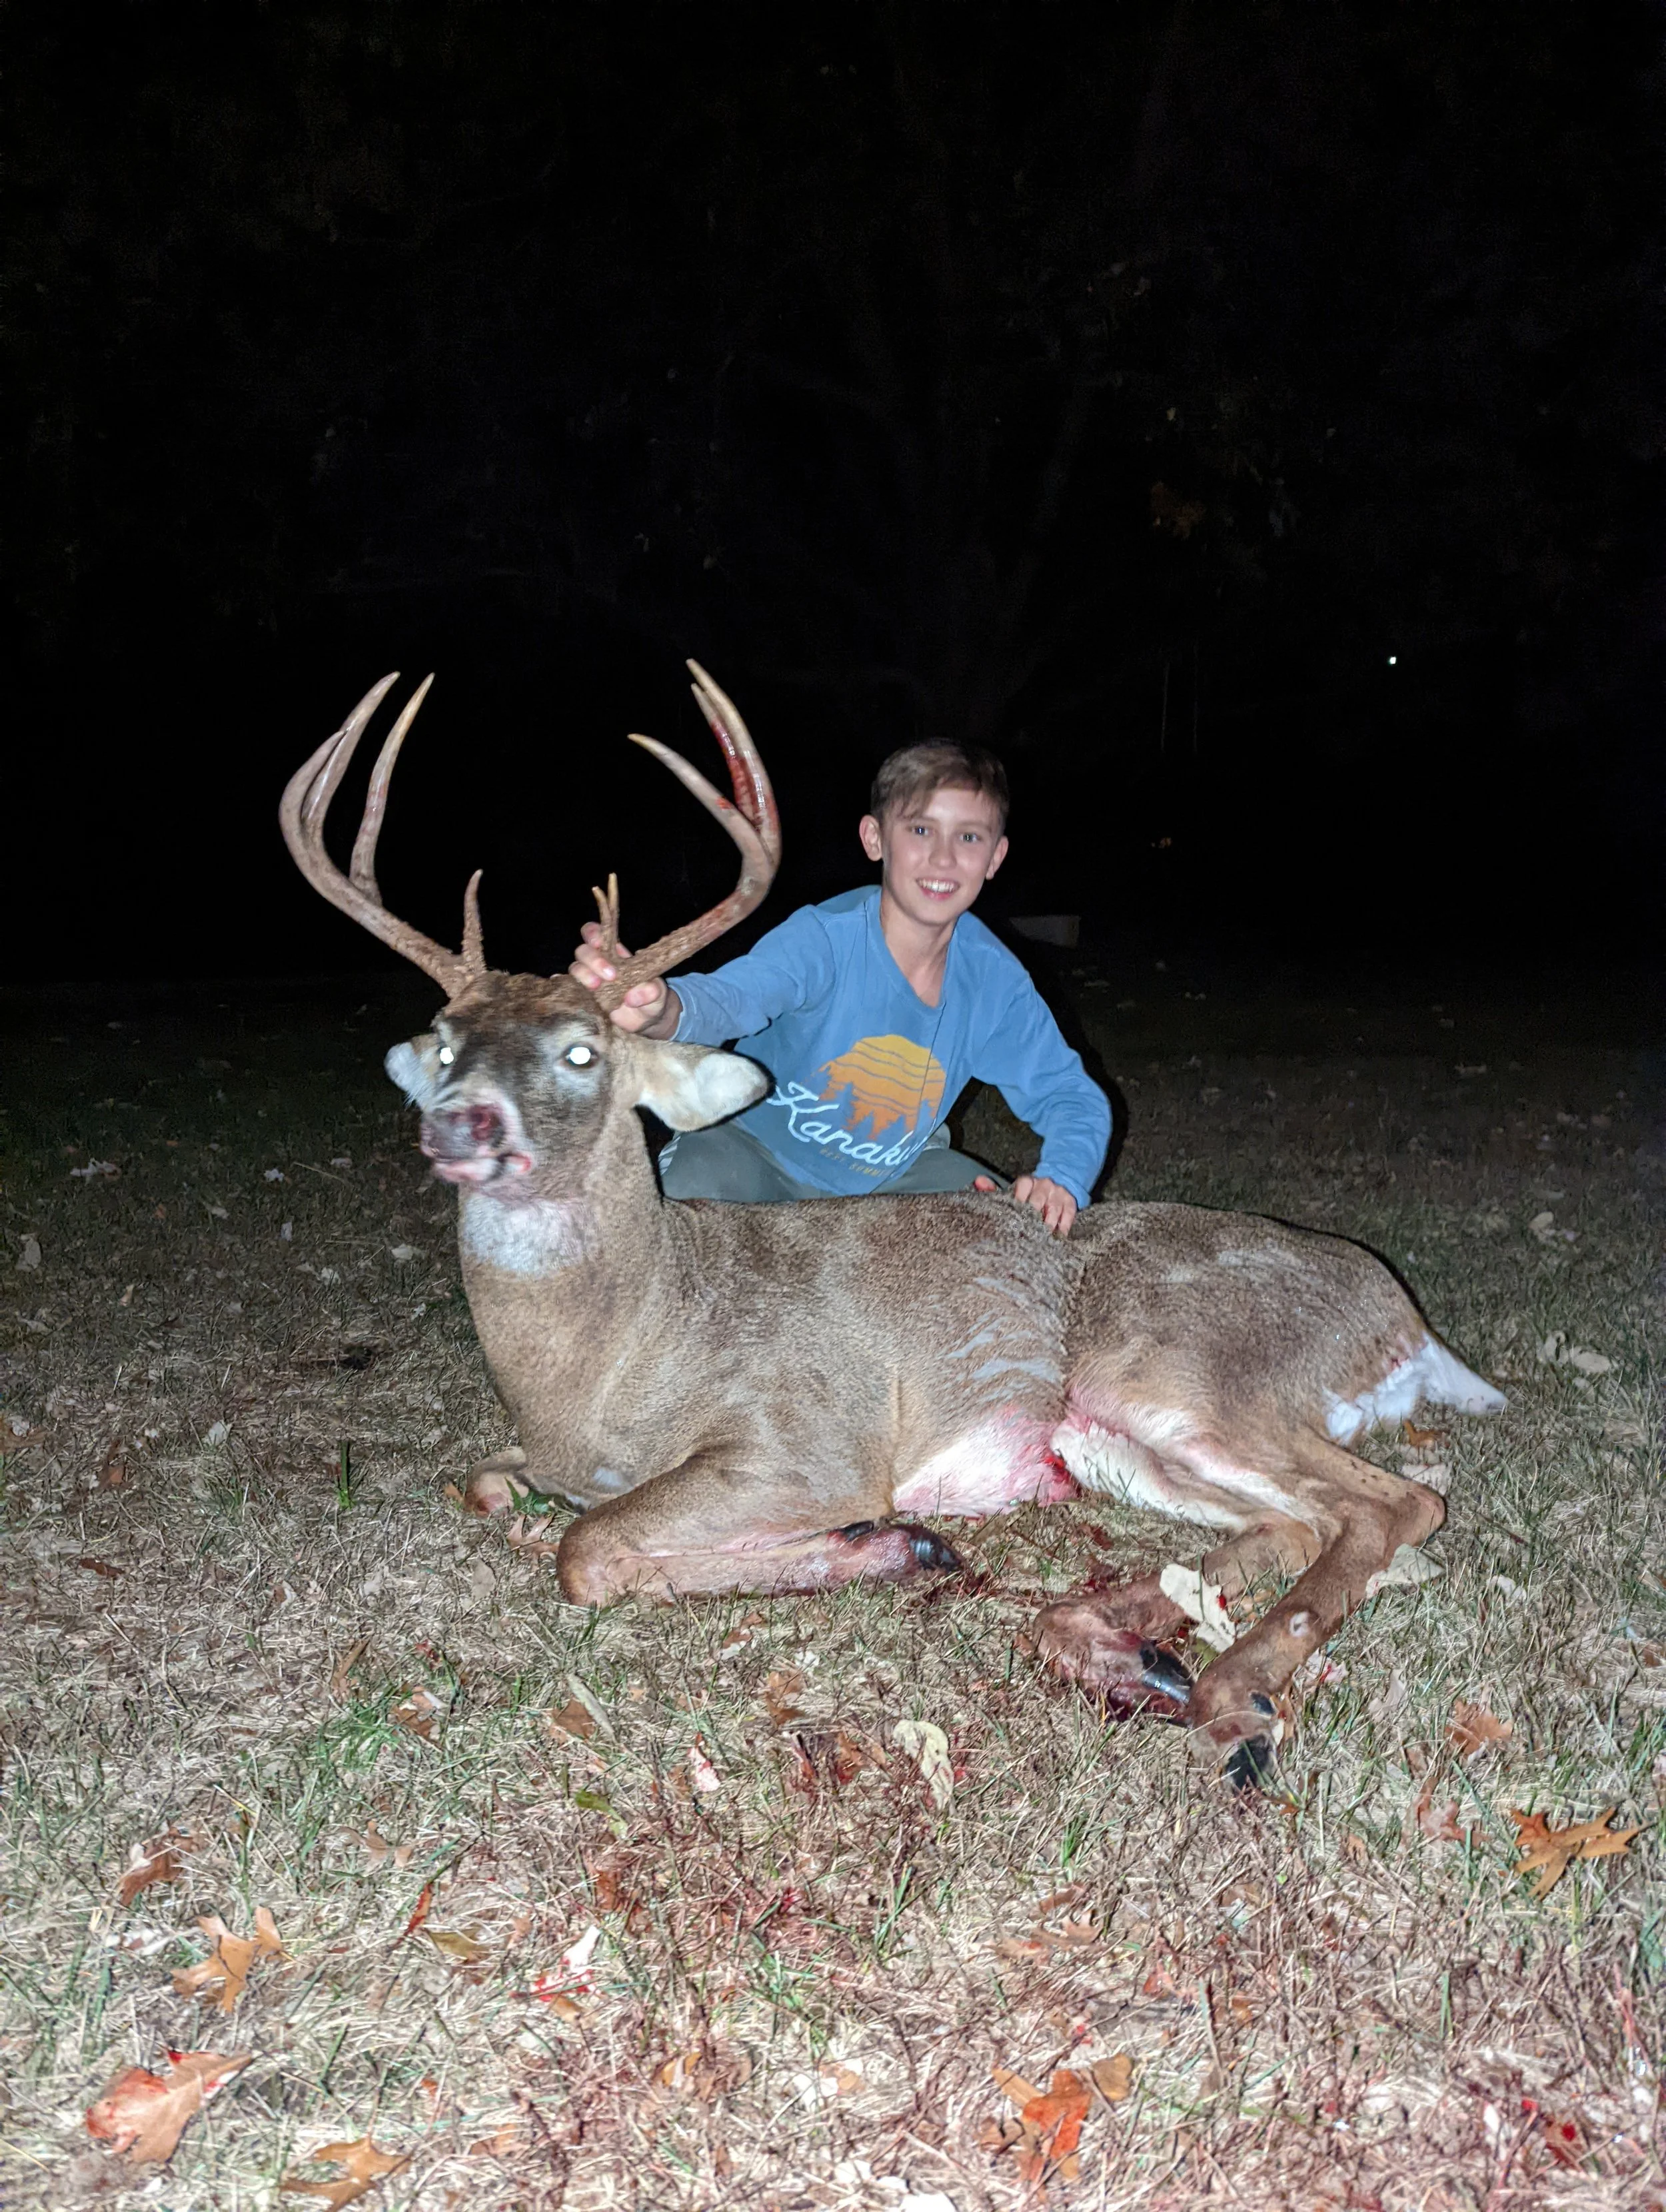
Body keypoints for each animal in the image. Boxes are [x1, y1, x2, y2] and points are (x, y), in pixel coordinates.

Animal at [281, 665, 1505, 1786]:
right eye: (445, 1040)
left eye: (584, 1050)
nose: (461, 1120)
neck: (610, 1364)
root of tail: (1404, 1318)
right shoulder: (541, 1454)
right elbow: (496, 1489)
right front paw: (883, 1548)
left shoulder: (811, 1441)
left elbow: (588, 1550)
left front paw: (870, 1543)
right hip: (1117, 1440)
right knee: (1303, 1526)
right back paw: (1122, 1647)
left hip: (1183, 1368)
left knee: (1398, 1504)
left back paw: (1228, 1696)